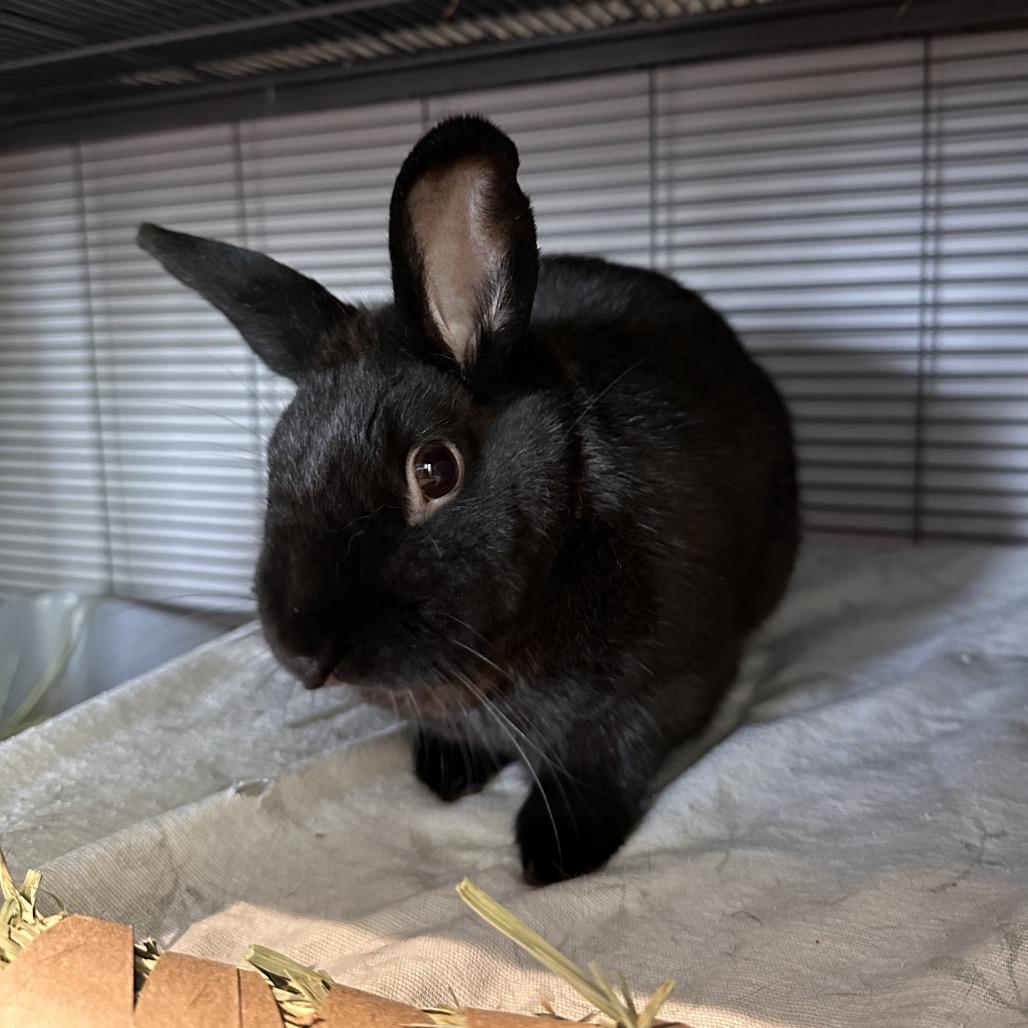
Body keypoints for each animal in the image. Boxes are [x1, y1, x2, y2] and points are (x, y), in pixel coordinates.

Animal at [137, 114, 799, 884]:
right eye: (277, 457)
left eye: (434, 469)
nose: (303, 654)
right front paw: (445, 776)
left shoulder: (659, 693)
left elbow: (601, 766)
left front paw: (554, 855)